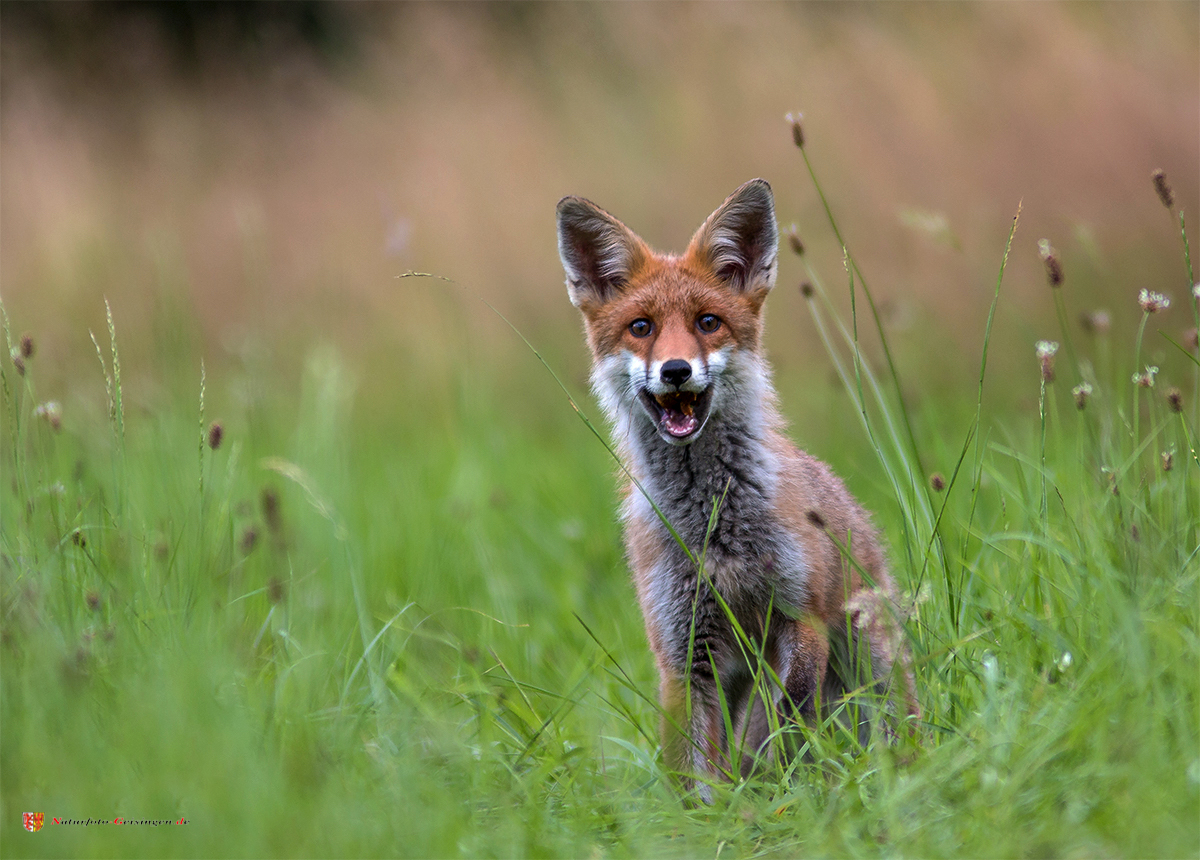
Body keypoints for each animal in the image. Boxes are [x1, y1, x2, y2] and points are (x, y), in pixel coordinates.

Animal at [556, 177, 912, 796]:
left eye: (708, 322)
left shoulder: (799, 616)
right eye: (641, 327)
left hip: (871, 662)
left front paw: (777, 783)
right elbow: (696, 767)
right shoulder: (683, 653)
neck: (714, 529)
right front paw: (719, 807)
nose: (675, 370)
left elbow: (787, 715)